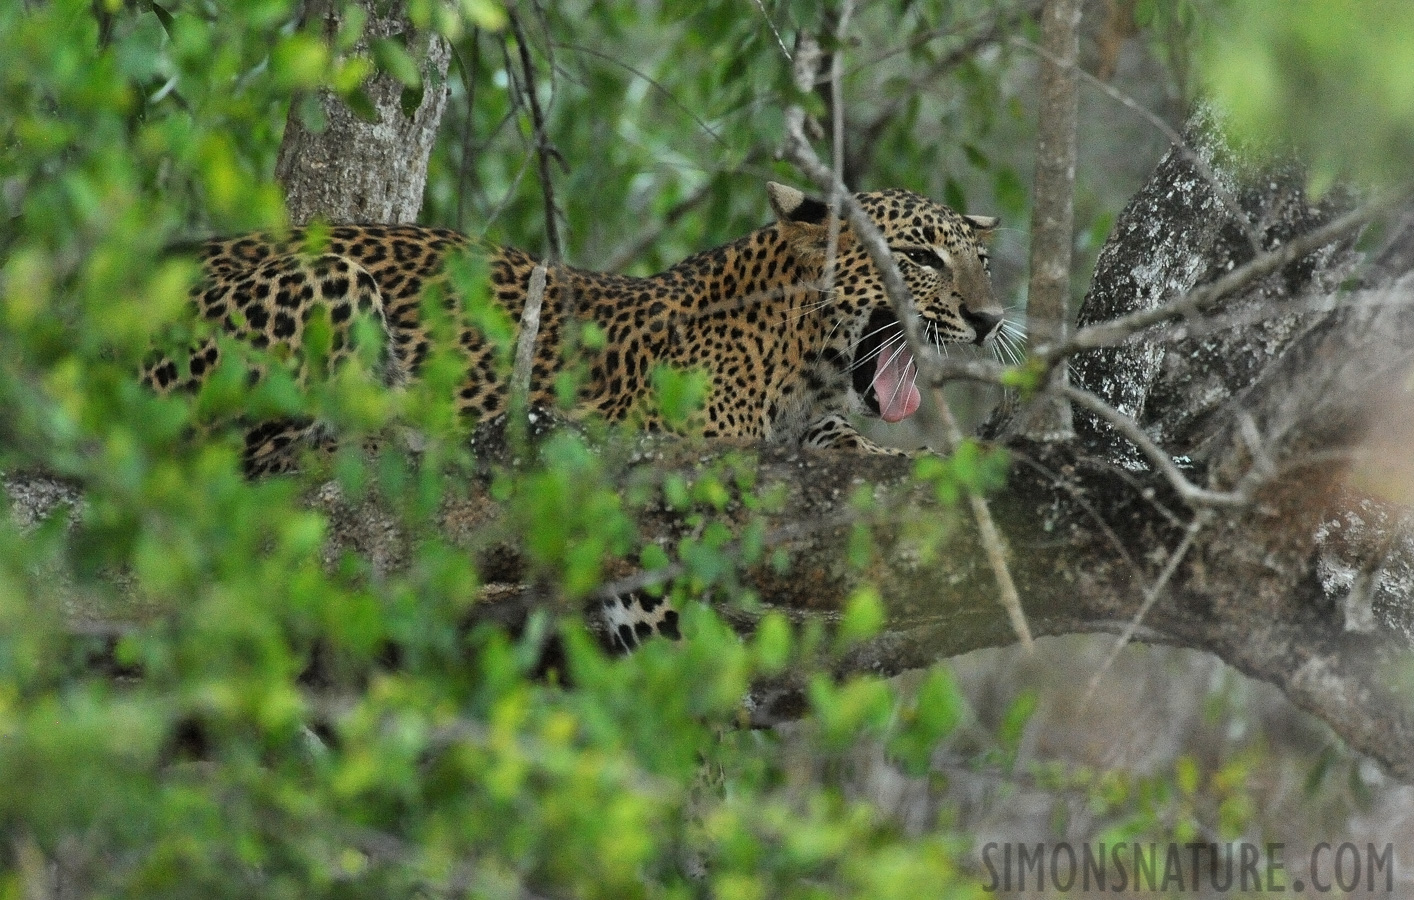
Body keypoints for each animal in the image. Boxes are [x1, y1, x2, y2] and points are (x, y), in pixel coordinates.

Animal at [146, 177, 1006, 653]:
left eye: (982, 261)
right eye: (919, 258)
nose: (991, 318)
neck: (802, 363)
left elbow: (863, 453)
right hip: (331, 279)